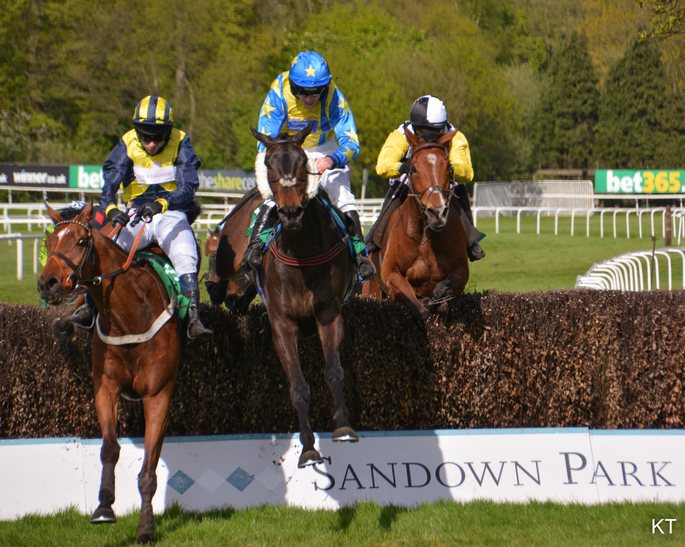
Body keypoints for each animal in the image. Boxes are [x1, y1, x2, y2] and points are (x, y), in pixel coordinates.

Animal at [37, 203, 180, 544]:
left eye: (79, 242)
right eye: (49, 242)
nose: (48, 283)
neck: (130, 315)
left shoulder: (158, 396)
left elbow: (148, 471)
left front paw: (146, 529)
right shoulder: (105, 389)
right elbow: (109, 449)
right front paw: (104, 506)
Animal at [250, 126, 358, 468]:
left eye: (301, 162)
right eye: (269, 164)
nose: (291, 211)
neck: (301, 253)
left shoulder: (329, 313)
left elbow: (334, 371)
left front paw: (343, 426)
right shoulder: (281, 324)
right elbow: (298, 386)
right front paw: (309, 448)